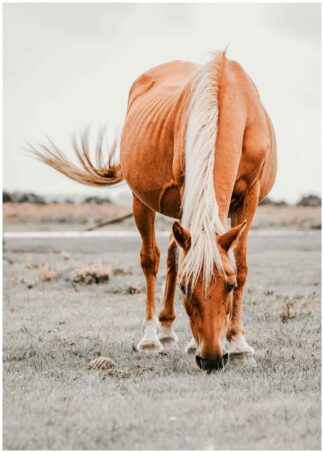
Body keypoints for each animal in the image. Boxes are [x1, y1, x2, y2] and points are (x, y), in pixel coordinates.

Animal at [32, 49, 276, 370]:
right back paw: (153, 337)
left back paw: (172, 333)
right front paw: (195, 341)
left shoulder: (250, 195)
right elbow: (174, 261)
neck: (227, 98)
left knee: (174, 250)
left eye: (230, 285)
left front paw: (238, 345)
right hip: (142, 201)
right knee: (152, 259)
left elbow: (242, 265)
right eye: (185, 287)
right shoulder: (187, 186)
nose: (211, 359)